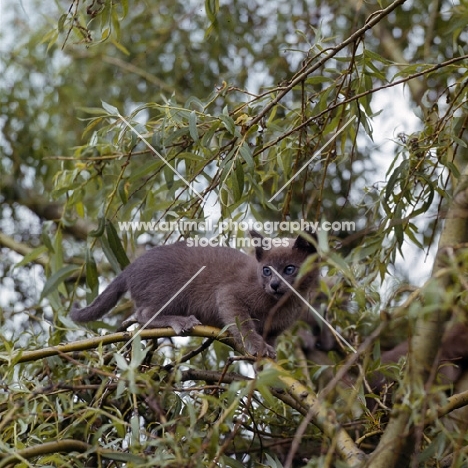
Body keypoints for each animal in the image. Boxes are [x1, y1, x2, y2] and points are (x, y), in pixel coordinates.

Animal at [70, 231, 318, 358]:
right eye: (267, 270)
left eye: (289, 269)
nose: (274, 284)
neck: (280, 304)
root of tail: (131, 267)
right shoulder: (229, 293)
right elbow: (243, 323)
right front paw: (256, 346)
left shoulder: (275, 329)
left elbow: (270, 338)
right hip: (172, 289)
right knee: (144, 314)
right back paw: (182, 321)